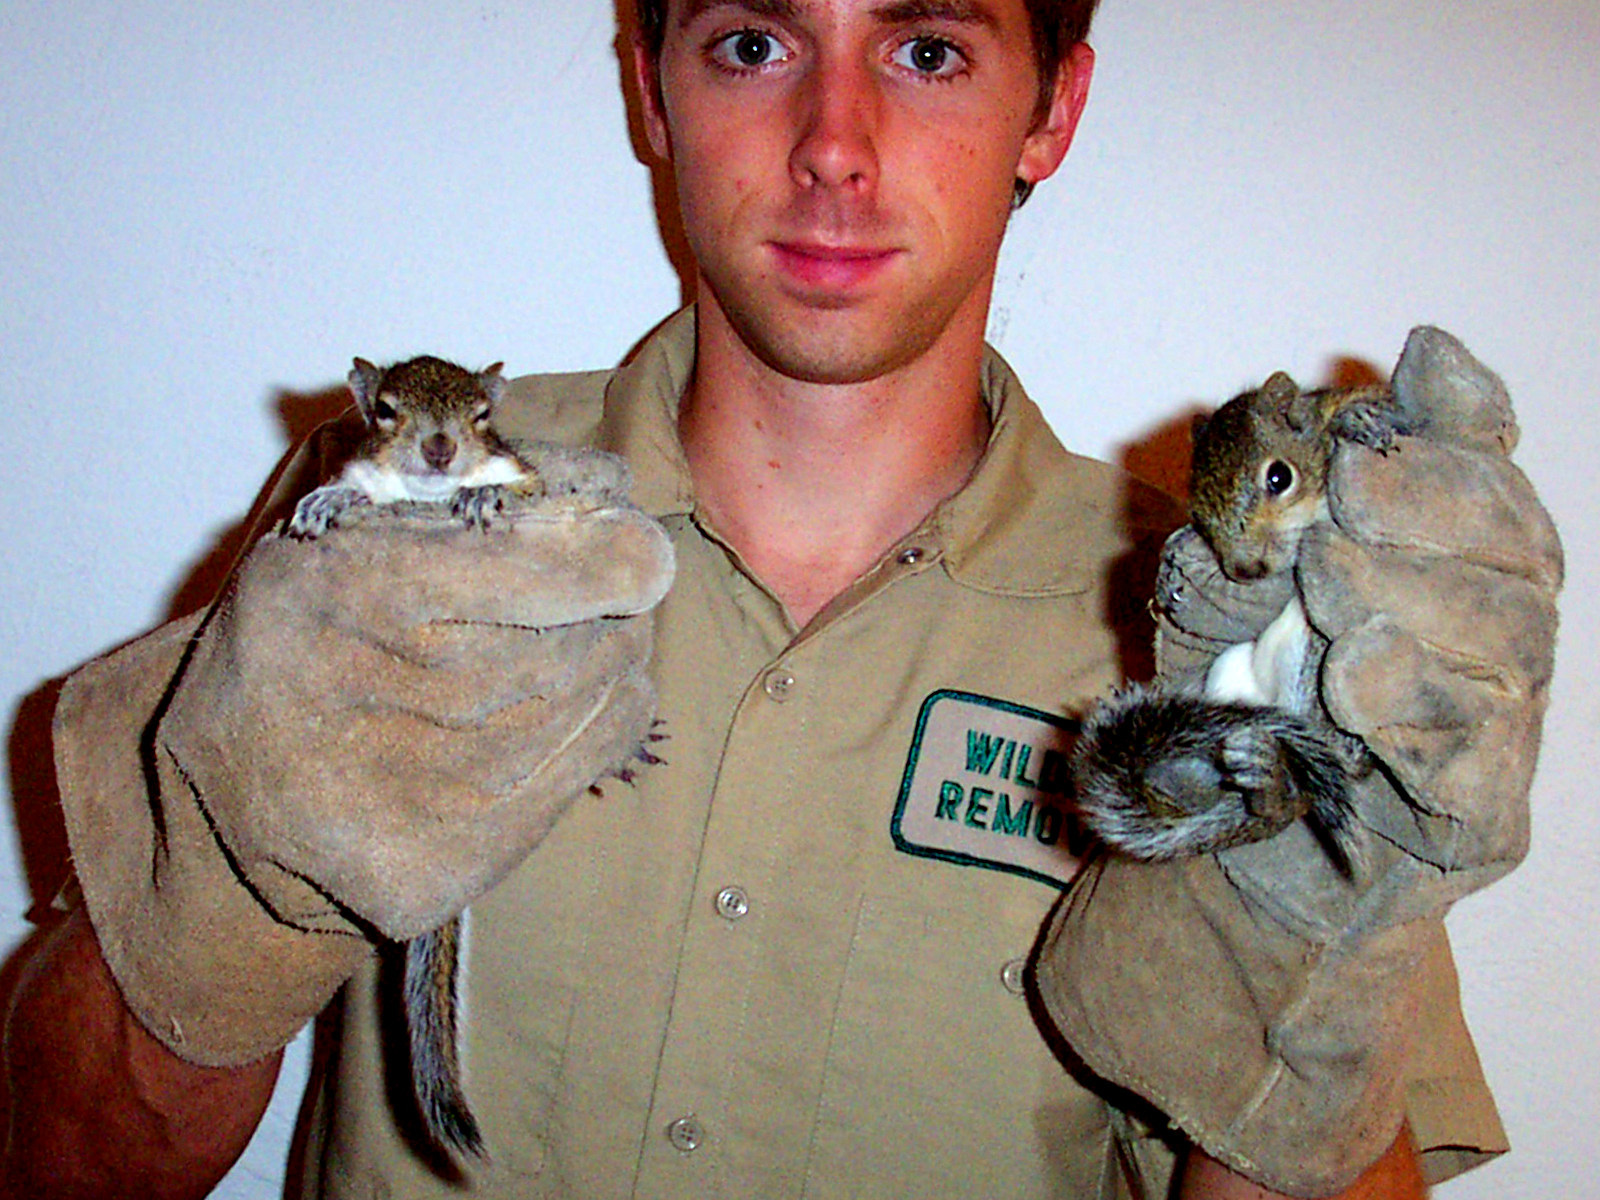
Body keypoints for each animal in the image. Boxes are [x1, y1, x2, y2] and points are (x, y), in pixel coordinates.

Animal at [286, 354, 545, 1166]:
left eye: (483, 416)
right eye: (385, 411)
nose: (439, 450)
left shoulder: (530, 472)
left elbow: (524, 488)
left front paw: (484, 492)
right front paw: (325, 500)